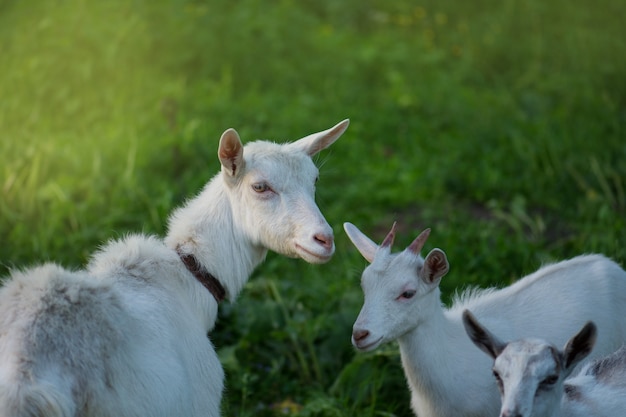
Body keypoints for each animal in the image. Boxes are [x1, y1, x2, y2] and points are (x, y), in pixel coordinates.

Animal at [0, 118, 348, 416]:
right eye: (260, 187)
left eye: (314, 179)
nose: (324, 239)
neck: (188, 277)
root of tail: (24, 378)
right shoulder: (201, 398)